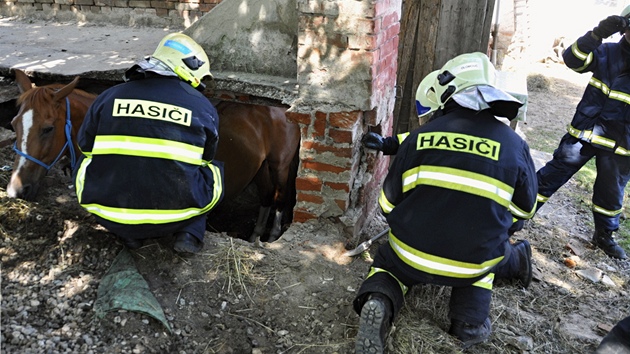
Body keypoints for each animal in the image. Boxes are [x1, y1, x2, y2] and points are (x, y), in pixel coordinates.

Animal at [4, 70, 302, 243]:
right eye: (14, 124)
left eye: (48, 128)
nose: (16, 189)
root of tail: (281, 108)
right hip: (260, 167)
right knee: (266, 197)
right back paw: (255, 236)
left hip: (280, 165)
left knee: (279, 197)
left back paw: (272, 235)